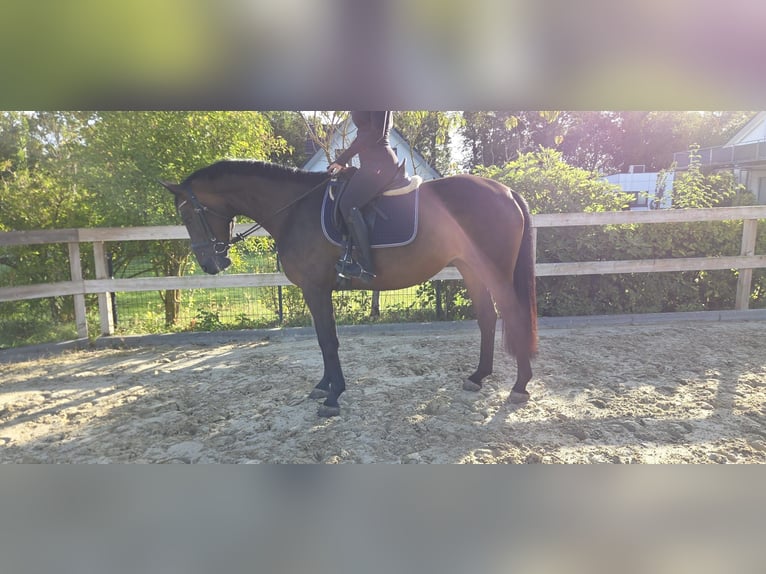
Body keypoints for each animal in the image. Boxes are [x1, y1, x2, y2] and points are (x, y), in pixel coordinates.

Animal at [161, 160, 537, 418]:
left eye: (188, 216)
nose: (211, 264)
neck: (294, 210)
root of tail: (506, 191)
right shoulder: (315, 291)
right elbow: (323, 339)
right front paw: (324, 386)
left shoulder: (315, 288)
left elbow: (328, 341)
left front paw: (333, 396)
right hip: (470, 268)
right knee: (487, 318)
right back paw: (478, 376)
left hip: (494, 270)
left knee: (514, 316)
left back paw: (520, 386)